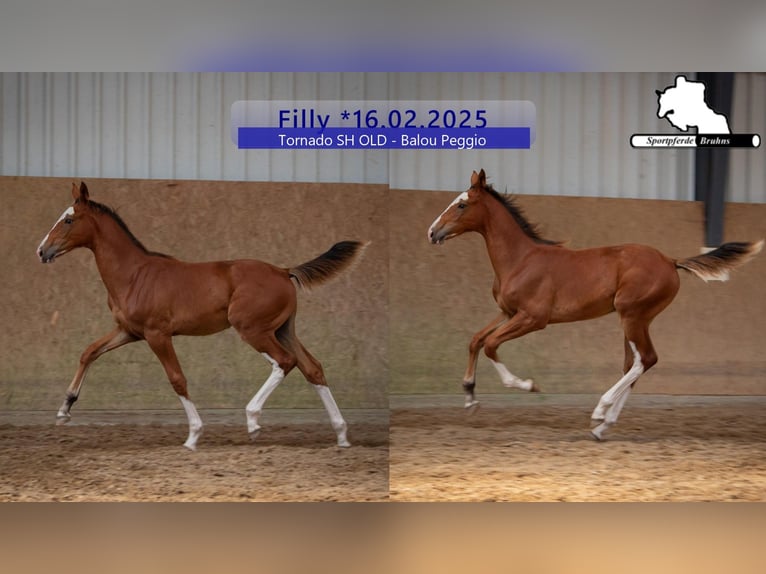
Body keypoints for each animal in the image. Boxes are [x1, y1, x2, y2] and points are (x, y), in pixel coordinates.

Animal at [37, 181, 367, 450]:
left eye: (68, 220)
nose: (42, 251)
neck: (134, 275)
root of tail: (284, 271)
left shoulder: (157, 335)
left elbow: (177, 379)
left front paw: (193, 436)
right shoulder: (128, 331)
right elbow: (89, 352)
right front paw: (64, 409)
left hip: (252, 329)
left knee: (285, 362)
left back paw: (253, 421)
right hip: (283, 329)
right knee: (312, 368)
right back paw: (341, 435)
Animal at [428, 169, 763, 440]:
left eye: (462, 204)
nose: (432, 232)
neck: (521, 259)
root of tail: (671, 261)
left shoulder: (533, 318)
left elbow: (491, 345)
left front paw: (528, 386)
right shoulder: (507, 312)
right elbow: (475, 340)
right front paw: (470, 399)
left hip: (632, 314)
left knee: (646, 359)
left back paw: (601, 411)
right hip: (636, 319)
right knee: (635, 363)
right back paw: (603, 427)